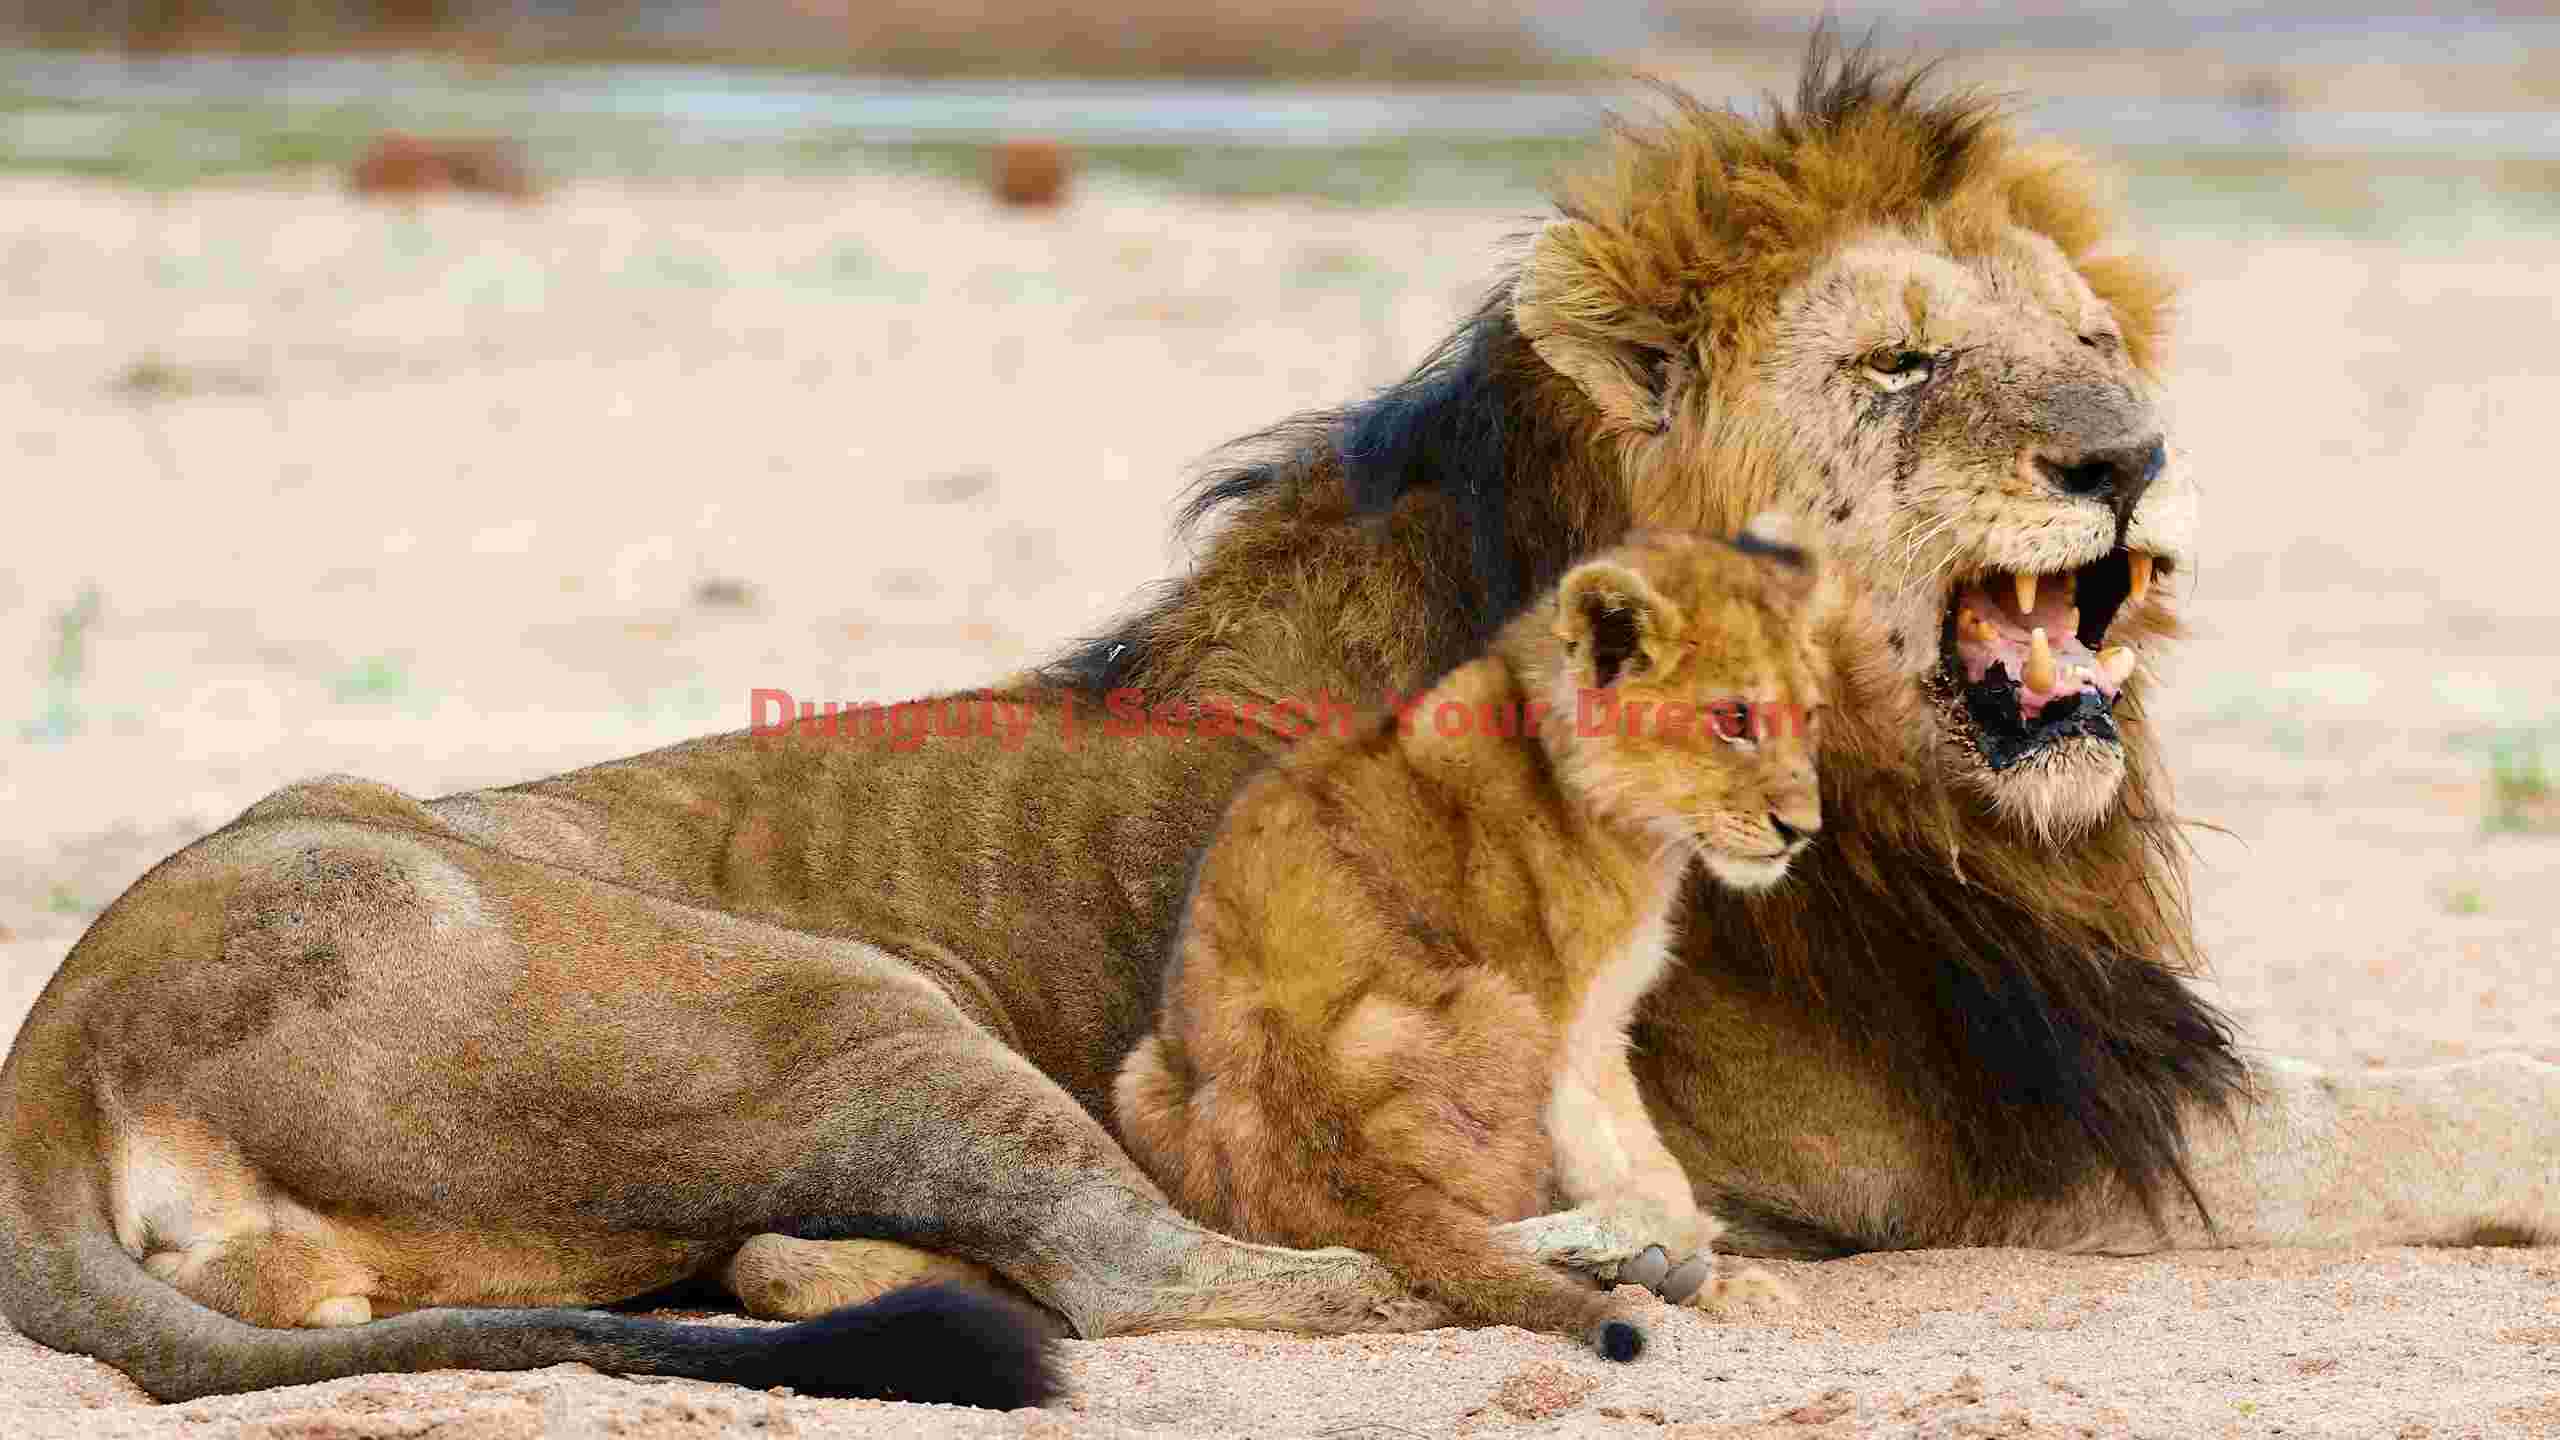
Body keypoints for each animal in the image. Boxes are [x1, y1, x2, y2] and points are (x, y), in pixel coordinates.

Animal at [1115, 526, 1829, 1358]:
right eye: (1734, 718)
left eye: (1810, 715)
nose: (1803, 830)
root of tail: (1324, 1160)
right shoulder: (1574, 1027)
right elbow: (1628, 1157)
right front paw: (1714, 1276)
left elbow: (1641, 1156)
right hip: (1502, 1007)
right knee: (1488, 1236)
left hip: (1139, 1075)